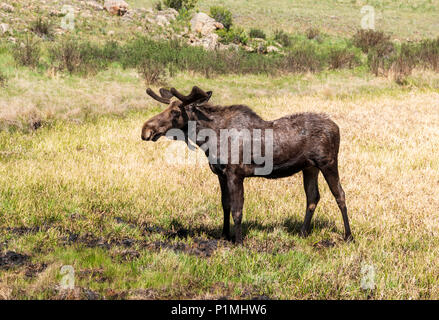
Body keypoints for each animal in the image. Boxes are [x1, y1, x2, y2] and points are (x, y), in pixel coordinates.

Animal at [142, 86, 354, 244]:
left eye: (175, 112)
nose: (146, 130)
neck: (208, 140)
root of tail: (337, 127)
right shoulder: (221, 174)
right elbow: (225, 205)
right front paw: (224, 235)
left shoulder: (236, 173)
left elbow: (237, 209)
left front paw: (239, 241)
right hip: (309, 167)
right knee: (312, 197)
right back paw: (302, 233)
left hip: (328, 162)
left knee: (340, 194)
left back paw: (348, 236)